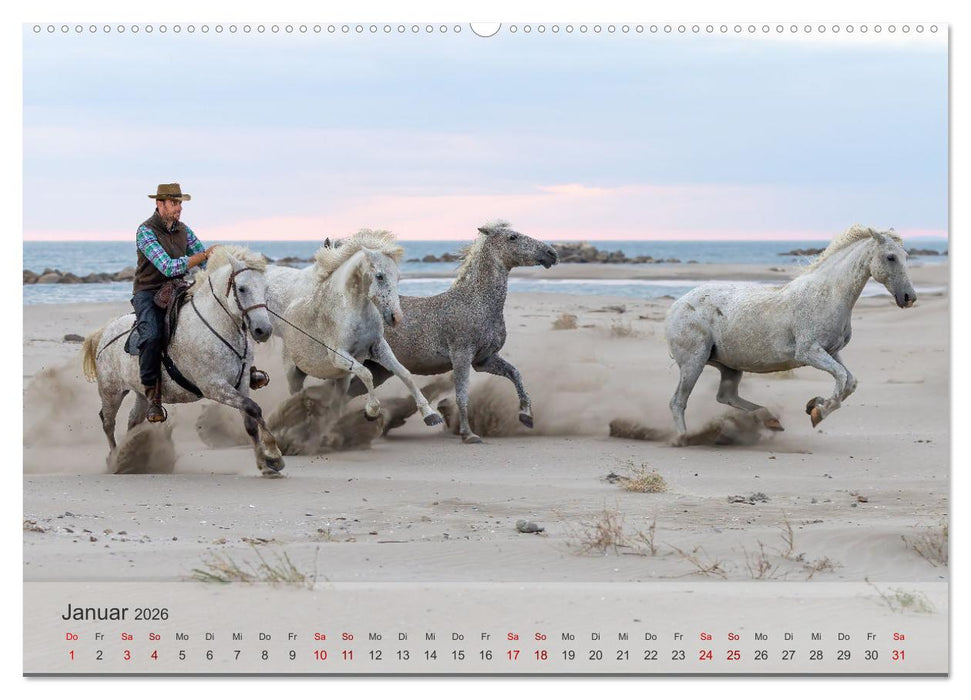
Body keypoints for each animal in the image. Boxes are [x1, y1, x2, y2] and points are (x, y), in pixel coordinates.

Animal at [81, 246, 285, 477]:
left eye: (265, 288)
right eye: (241, 288)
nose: (263, 330)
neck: (216, 325)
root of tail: (105, 331)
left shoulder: (241, 384)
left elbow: (250, 419)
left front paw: (265, 463)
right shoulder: (214, 387)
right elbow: (254, 408)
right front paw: (274, 455)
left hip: (140, 392)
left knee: (133, 420)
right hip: (111, 391)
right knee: (108, 422)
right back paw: (115, 459)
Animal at [265, 229, 444, 427]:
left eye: (398, 277)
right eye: (380, 276)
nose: (396, 317)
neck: (353, 311)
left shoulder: (378, 348)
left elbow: (404, 373)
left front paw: (430, 415)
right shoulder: (339, 356)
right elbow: (367, 374)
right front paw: (372, 411)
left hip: (340, 379)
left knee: (336, 404)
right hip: (294, 375)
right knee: (295, 397)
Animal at [349, 220, 559, 444]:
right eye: (513, 237)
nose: (551, 253)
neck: (476, 302)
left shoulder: (484, 360)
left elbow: (515, 374)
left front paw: (526, 416)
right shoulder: (461, 356)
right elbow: (462, 395)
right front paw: (469, 435)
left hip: (379, 369)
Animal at [665, 225, 917, 438]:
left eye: (906, 256)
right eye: (891, 257)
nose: (909, 297)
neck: (828, 295)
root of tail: (675, 307)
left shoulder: (832, 352)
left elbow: (849, 382)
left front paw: (814, 404)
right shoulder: (809, 352)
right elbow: (841, 378)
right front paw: (818, 412)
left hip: (730, 366)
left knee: (726, 396)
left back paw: (770, 420)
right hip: (694, 362)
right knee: (678, 402)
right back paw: (684, 438)